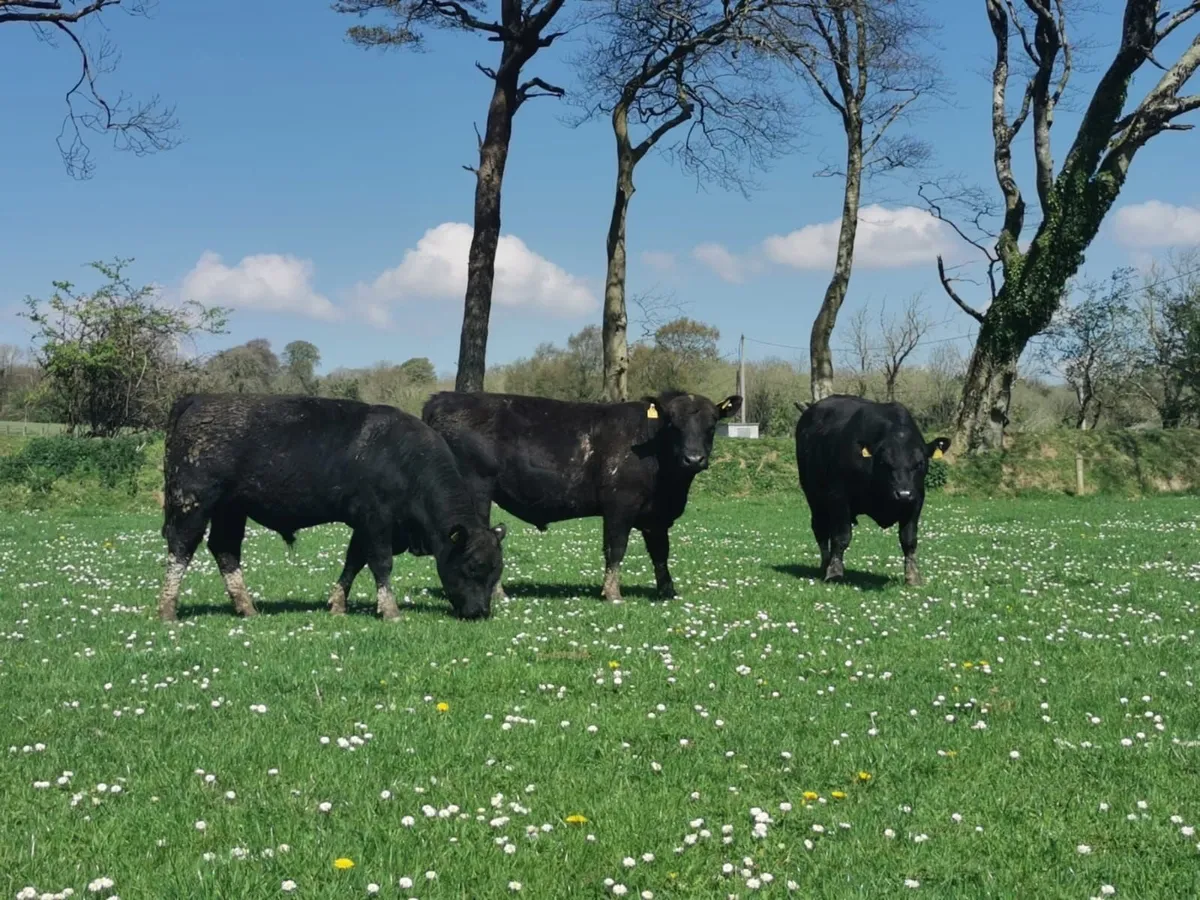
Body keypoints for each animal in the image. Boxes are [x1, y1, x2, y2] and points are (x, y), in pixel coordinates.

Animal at [156, 394, 506, 622]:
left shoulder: (364, 525)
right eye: (473, 566)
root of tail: (199, 398)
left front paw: (338, 604)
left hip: (231, 510)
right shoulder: (376, 520)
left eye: (497, 571)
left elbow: (354, 561)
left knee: (225, 549)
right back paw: (168, 609)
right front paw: (390, 611)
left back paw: (247, 608)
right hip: (193, 503)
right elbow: (380, 563)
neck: (404, 458)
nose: (481, 613)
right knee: (181, 549)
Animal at [421, 390, 742, 602]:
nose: (694, 459)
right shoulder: (619, 504)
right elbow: (615, 548)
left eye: (712, 425)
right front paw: (612, 593)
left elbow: (660, 553)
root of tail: (446, 397)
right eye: (673, 425)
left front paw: (667, 591)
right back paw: (498, 592)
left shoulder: (657, 517)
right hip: (476, 489)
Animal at [793, 395, 950, 586]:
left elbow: (909, 539)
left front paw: (913, 577)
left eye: (919, 463)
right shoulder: (839, 497)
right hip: (814, 497)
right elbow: (841, 537)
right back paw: (825, 565)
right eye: (884, 462)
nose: (903, 494)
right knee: (821, 529)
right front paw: (835, 572)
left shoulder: (916, 499)